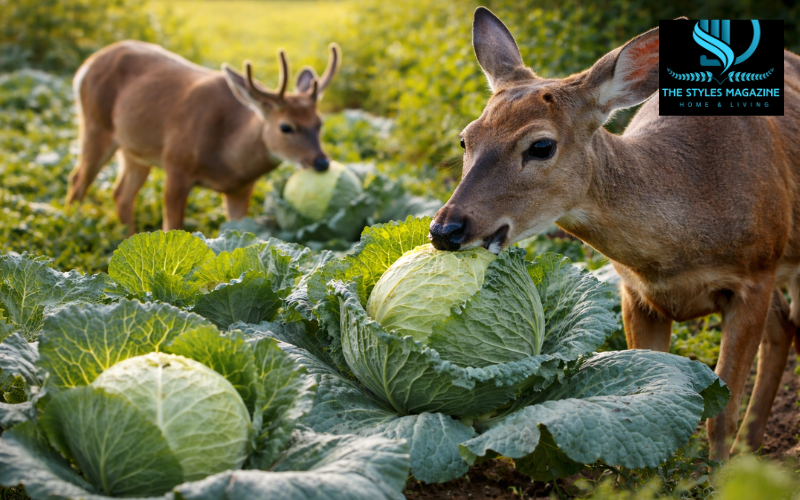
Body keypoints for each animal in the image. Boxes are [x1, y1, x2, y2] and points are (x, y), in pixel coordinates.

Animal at [65, 40, 340, 233]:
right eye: (286, 127)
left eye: (320, 123)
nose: (321, 162)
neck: (226, 158)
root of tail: (86, 65)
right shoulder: (176, 163)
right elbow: (172, 228)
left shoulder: (242, 188)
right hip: (95, 124)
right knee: (78, 178)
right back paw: (71, 223)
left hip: (134, 149)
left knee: (121, 194)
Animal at [429, 7, 800, 460]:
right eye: (466, 138)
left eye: (541, 146)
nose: (446, 228)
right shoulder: (633, 292)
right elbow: (654, 388)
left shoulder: (756, 274)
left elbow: (721, 416)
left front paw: (720, 472)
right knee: (784, 328)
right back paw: (753, 446)